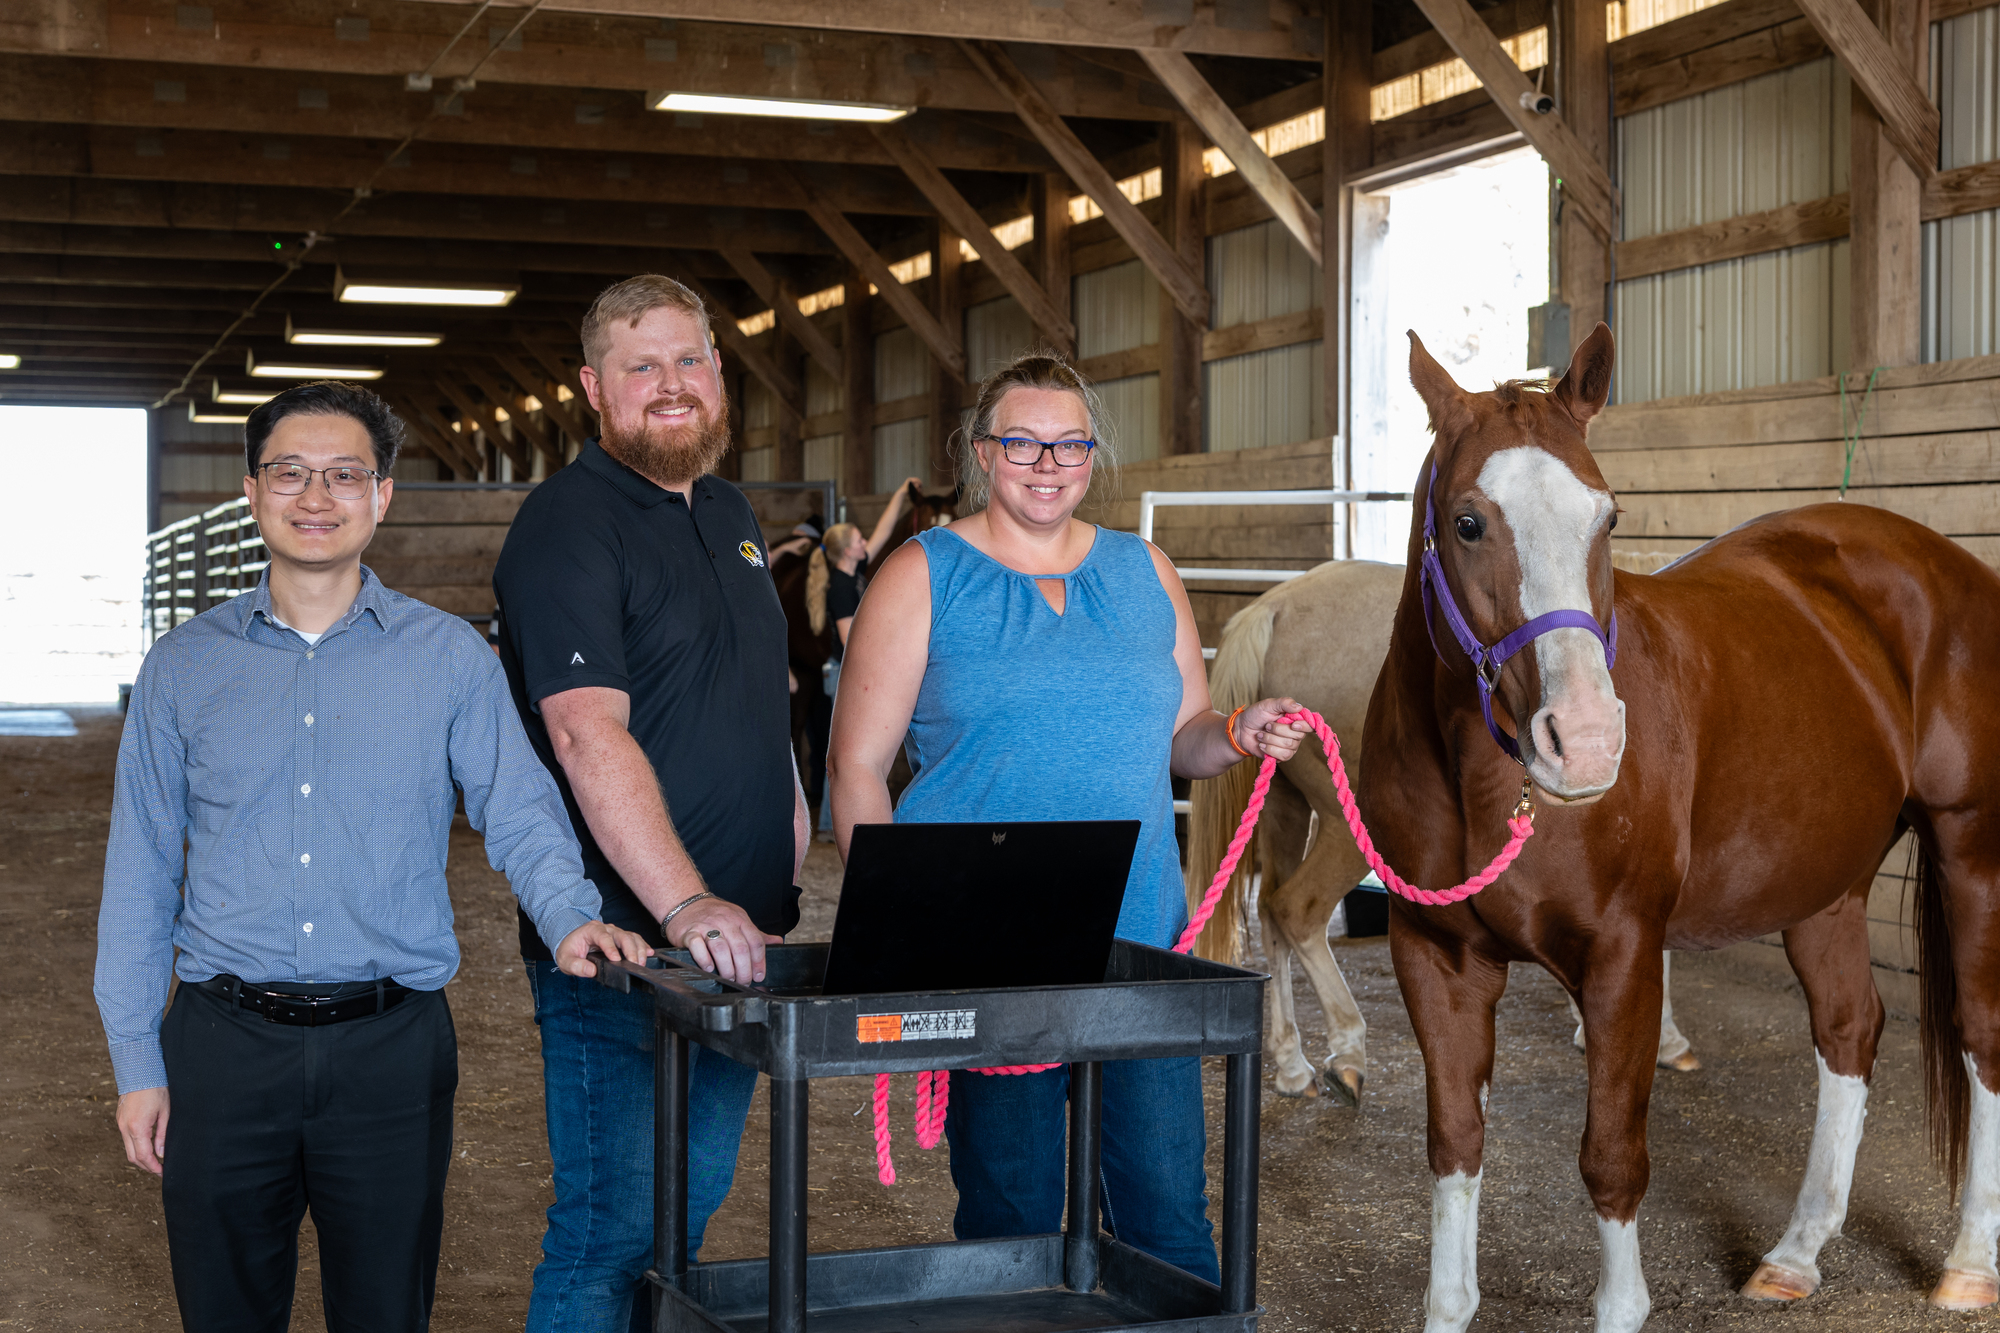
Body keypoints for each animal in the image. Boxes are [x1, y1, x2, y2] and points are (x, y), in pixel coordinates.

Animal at [1184, 556, 1704, 1096]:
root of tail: (1275, 606)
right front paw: (1662, 1038)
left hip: (1283, 805)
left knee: (1269, 911)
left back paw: (1291, 1063)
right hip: (1344, 829)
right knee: (1297, 910)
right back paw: (1347, 1045)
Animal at [1368, 316, 2000, 1320]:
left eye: (1608, 516)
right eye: (1467, 521)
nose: (1585, 743)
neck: (1480, 780)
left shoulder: (1624, 957)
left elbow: (1612, 1160)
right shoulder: (1435, 959)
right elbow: (1456, 1146)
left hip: (1971, 846)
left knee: (1980, 1037)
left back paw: (1971, 1262)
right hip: (1825, 883)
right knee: (1849, 1030)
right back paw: (1796, 1250)